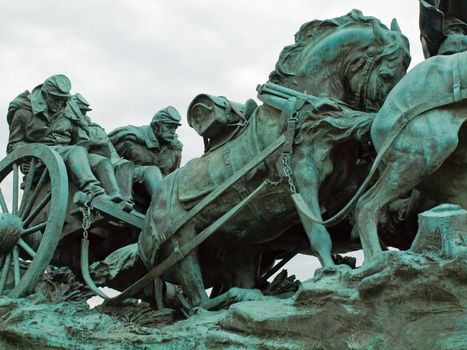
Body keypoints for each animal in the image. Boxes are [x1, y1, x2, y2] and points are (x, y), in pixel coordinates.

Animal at [141, 9, 412, 308]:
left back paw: (247, 294)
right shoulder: (302, 176)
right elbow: (319, 233)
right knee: (199, 298)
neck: (298, 109)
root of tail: (156, 197)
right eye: (386, 74)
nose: (387, 113)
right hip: (183, 241)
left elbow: (368, 208)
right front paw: (331, 272)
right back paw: (233, 298)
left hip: (242, 243)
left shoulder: (347, 185)